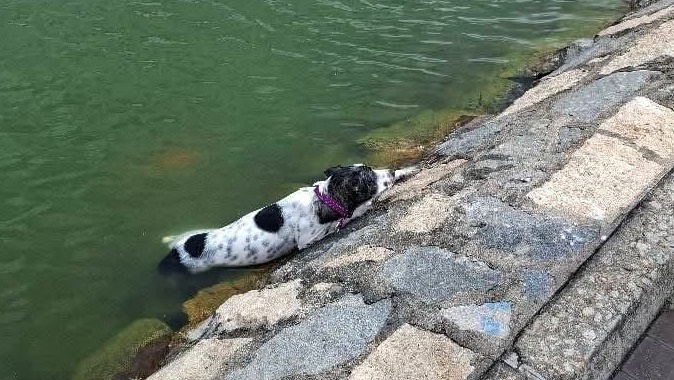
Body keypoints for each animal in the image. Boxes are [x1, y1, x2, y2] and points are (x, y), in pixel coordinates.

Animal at [159, 163, 418, 274]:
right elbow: (348, 216)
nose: (391, 171)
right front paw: (364, 207)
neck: (324, 199)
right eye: (369, 179)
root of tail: (176, 252)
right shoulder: (309, 239)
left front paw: (406, 170)